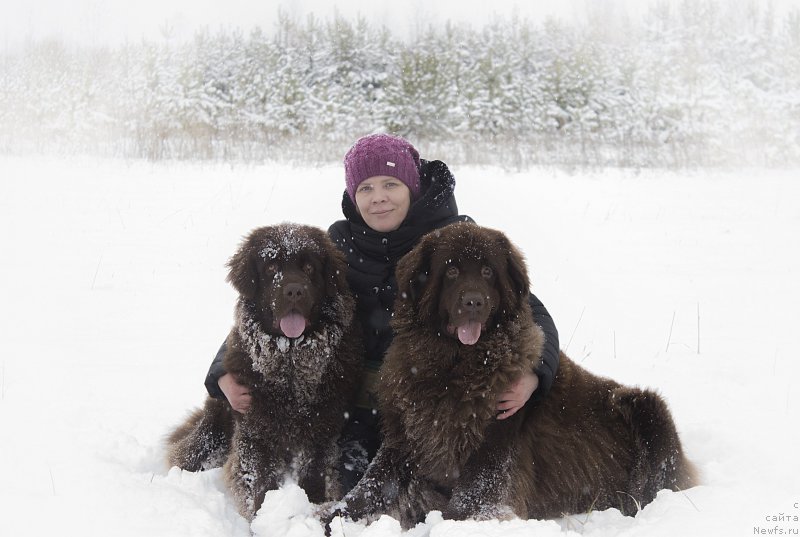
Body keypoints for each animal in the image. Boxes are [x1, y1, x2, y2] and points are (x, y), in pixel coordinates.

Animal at [167, 223, 360, 520]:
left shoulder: (323, 430)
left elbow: (314, 475)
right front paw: (264, 517)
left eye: (309, 267)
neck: (290, 367)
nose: (294, 291)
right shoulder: (254, 433)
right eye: (271, 268)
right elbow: (260, 482)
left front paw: (311, 508)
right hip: (215, 419)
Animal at [324, 221, 692, 528]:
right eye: (451, 270)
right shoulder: (405, 438)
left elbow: (460, 510)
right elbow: (368, 488)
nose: (473, 302)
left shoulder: (491, 463)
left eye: (488, 271)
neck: (455, 368)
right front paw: (334, 517)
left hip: (648, 407)